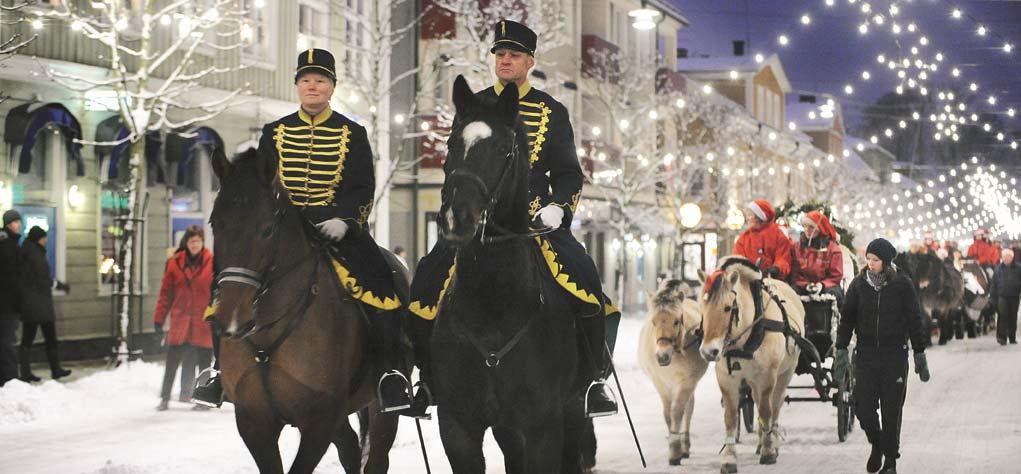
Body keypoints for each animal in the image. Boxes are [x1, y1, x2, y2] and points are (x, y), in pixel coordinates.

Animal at [209, 149, 404, 474]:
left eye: (268, 229)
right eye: (214, 224)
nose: (233, 319)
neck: (267, 336)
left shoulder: (320, 418)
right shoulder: (253, 421)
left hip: (382, 407)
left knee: (377, 457)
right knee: (351, 448)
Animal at [428, 76, 592, 471]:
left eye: (504, 148)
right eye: (451, 143)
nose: (457, 218)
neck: (494, 303)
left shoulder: (543, 427)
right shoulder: (457, 427)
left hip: (572, 411)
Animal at [637, 279, 710, 463]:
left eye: (676, 321)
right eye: (653, 322)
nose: (662, 356)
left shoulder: (686, 382)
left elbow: (677, 411)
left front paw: (675, 450)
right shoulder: (660, 383)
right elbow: (667, 414)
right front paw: (672, 441)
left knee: (688, 409)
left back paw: (685, 445)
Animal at [694, 257, 804, 471]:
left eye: (728, 308)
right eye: (702, 306)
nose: (708, 351)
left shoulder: (767, 376)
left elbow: (766, 410)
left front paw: (769, 451)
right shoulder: (727, 379)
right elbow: (730, 417)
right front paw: (729, 458)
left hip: (785, 372)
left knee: (775, 404)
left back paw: (771, 442)